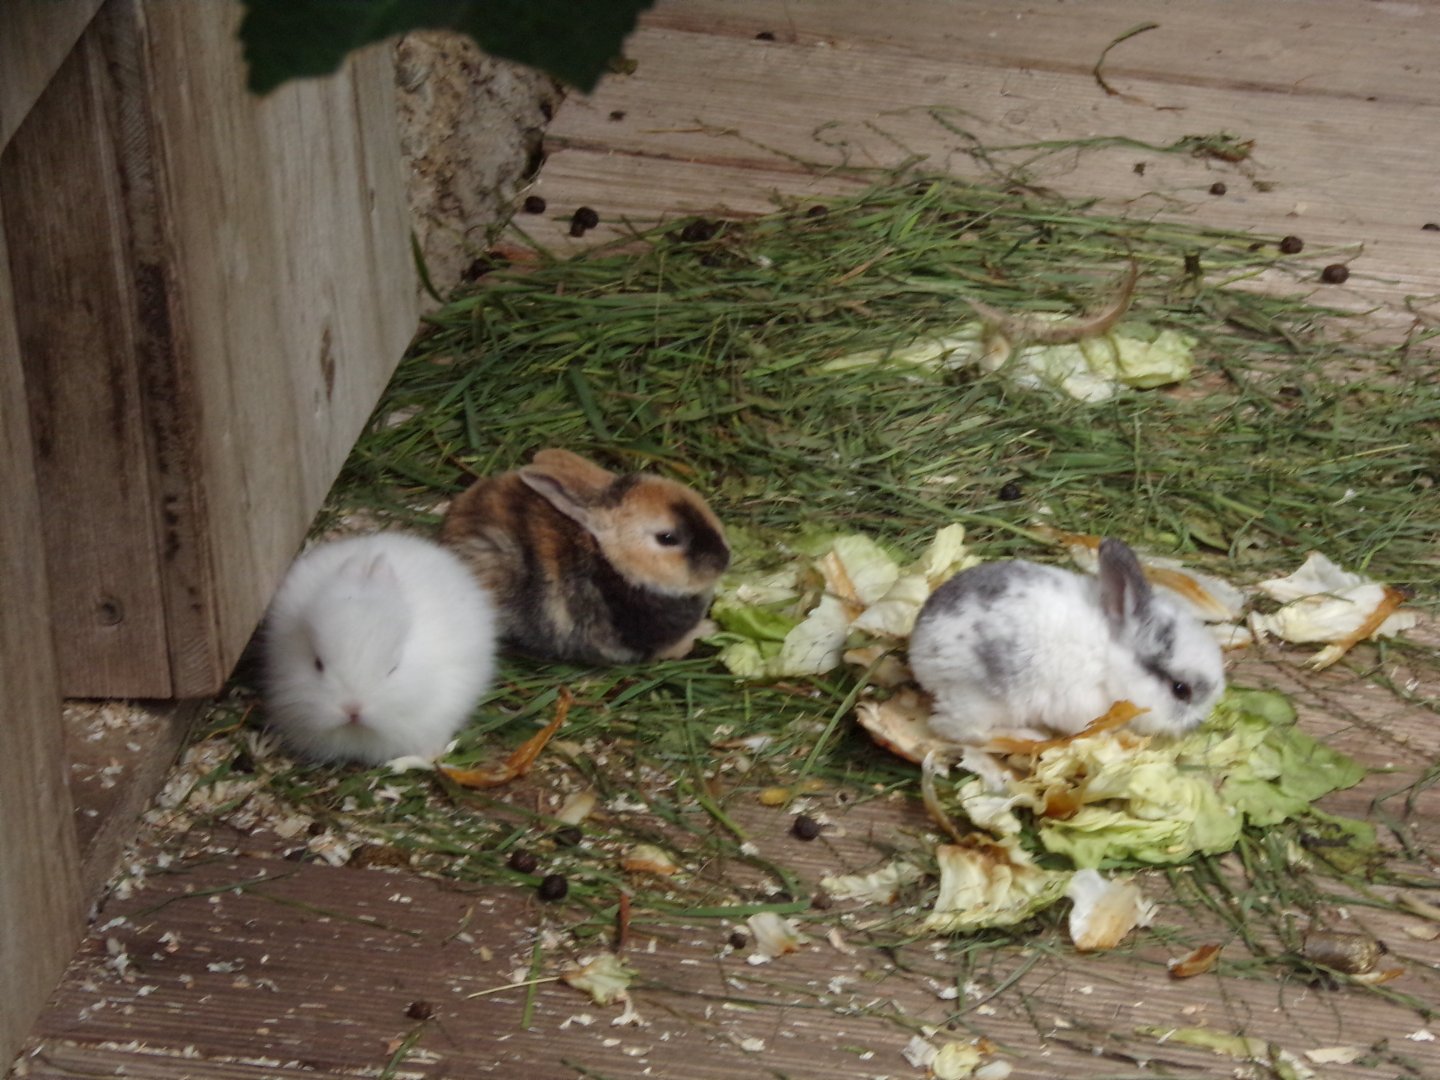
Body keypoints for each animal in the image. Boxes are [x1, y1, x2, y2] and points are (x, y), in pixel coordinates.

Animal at [908, 538, 1225, 747]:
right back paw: (1026, 737)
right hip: (980, 700)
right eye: (1180, 689)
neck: (1111, 658)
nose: (1197, 724)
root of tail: (919, 649)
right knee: (956, 729)